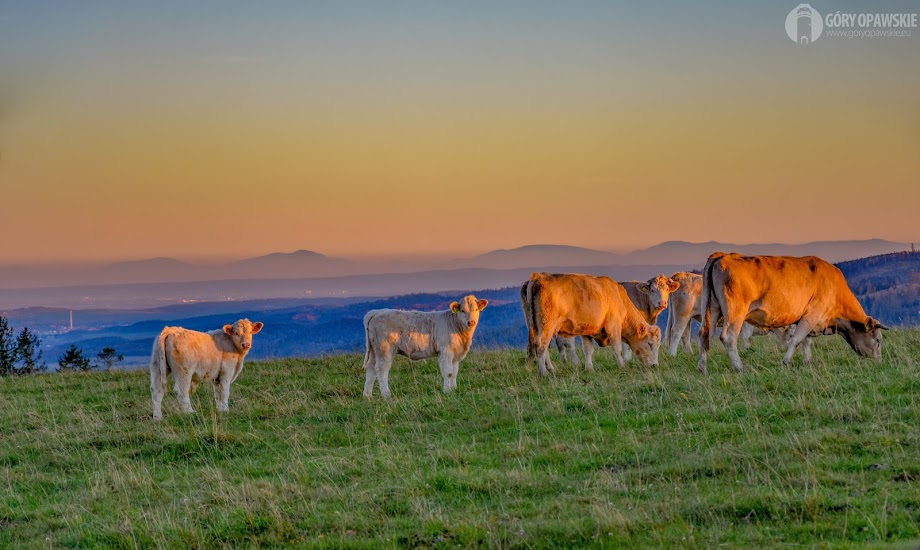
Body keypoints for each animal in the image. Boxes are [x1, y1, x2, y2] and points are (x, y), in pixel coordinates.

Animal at [525, 272, 661, 375]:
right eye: (650, 343)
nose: (655, 365)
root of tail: (538, 277)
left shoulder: (587, 330)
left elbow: (588, 349)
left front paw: (589, 368)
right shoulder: (614, 326)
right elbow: (617, 348)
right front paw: (622, 365)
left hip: (536, 326)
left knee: (540, 345)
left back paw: (551, 369)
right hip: (547, 324)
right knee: (541, 345)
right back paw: (543, 373)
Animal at [698, 253, 888, 373]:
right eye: (878, 340)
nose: (879, 361)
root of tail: (723, 255)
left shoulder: (808, 319)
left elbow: (806, 341)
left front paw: (808, 361)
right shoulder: (812, 315)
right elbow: (796, 339)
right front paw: (786, 361)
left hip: (713, 309)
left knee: (704, 334)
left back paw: (702, 368)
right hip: (735, 312)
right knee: (728, 337)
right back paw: (739, 368)